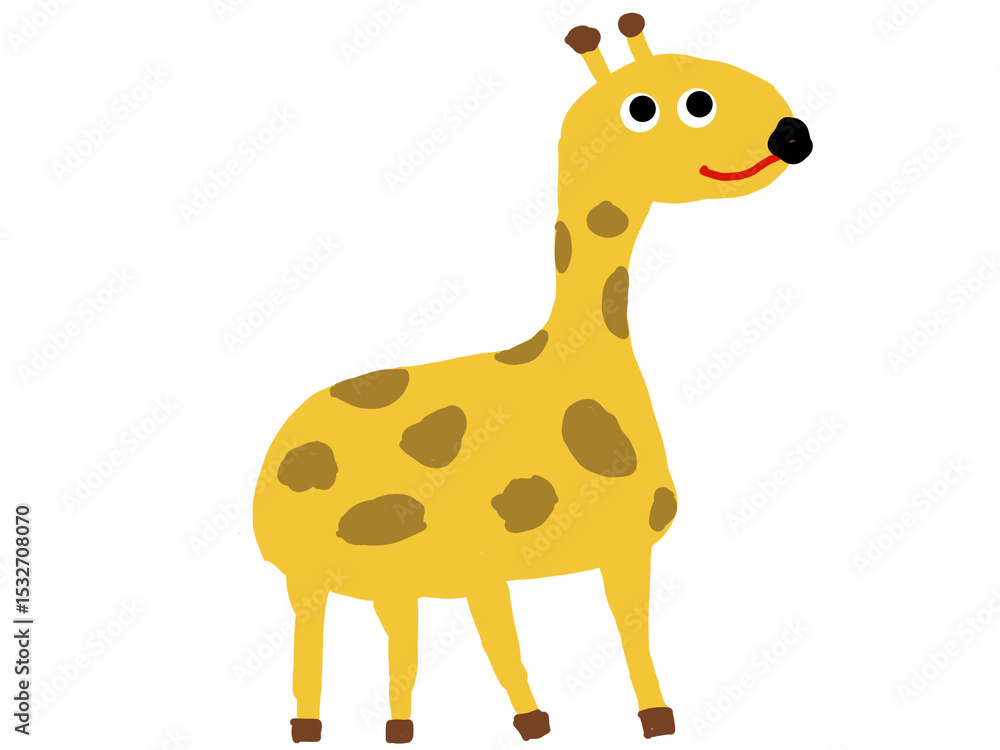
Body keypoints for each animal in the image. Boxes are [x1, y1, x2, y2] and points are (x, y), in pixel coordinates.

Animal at [253, 12, 812, 744]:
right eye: (670, 105)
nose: (791, 134)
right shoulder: (482, 563)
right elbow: (506, 645)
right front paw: (535, 721)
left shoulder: (623, 546)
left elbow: (631, 632)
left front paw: (656, 718)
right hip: (307, 571)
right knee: (308, 633)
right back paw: (307, 725)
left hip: (387, 575)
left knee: (398, 638)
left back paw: (399, 728)